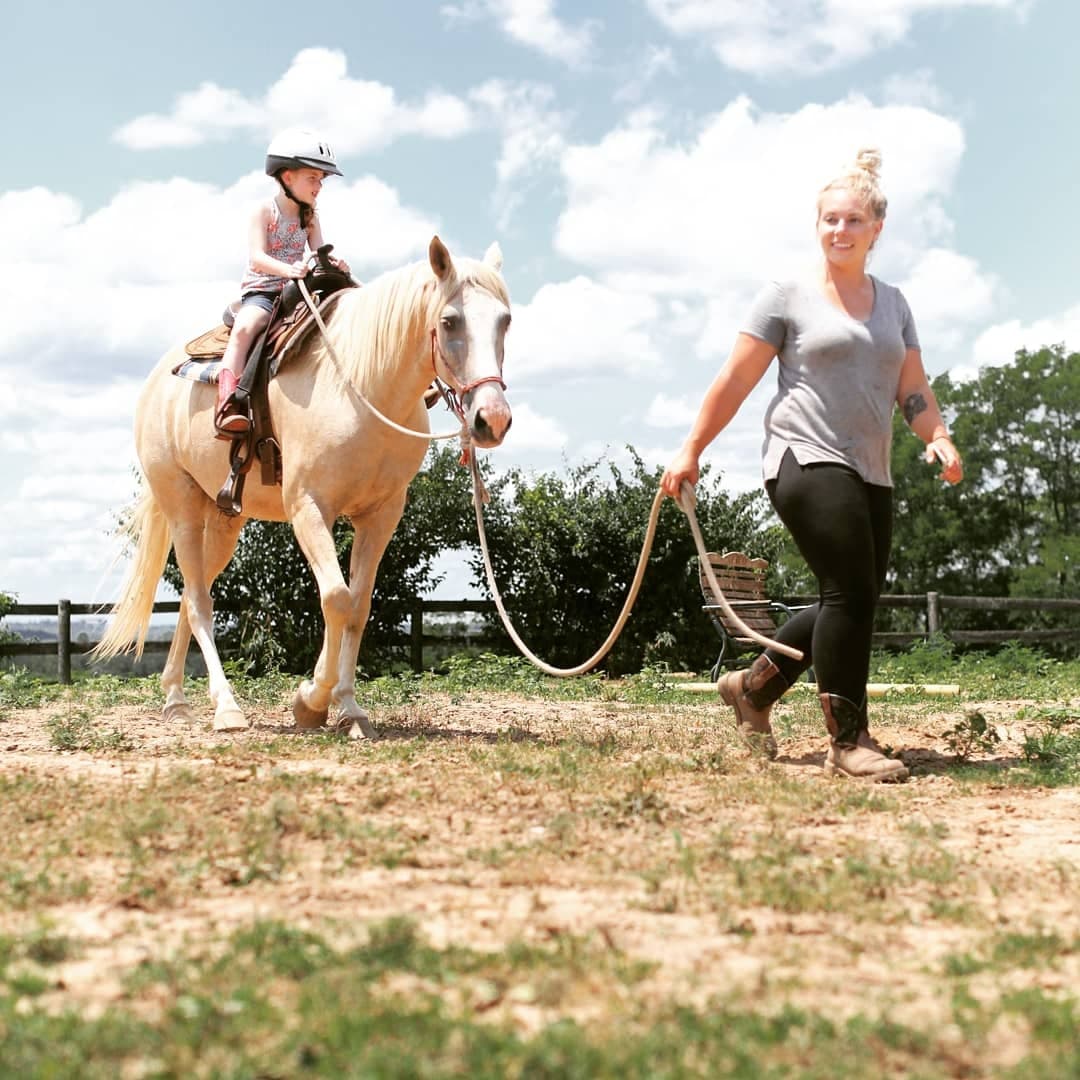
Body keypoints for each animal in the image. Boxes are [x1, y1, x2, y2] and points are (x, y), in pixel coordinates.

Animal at [95, 236, 512, 737]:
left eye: (506, 321)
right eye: (450, 321)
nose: (492, 419)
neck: (360, 384)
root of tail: (158, 380)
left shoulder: (381, 515)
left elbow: (359, 606)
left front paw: (350, 708)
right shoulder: (309, 507)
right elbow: (335, 598)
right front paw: (310, 702)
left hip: (224, 519)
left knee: (191, 600)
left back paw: (176, 698)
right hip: (181, 507)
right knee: (197, 602)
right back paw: (225, 707)